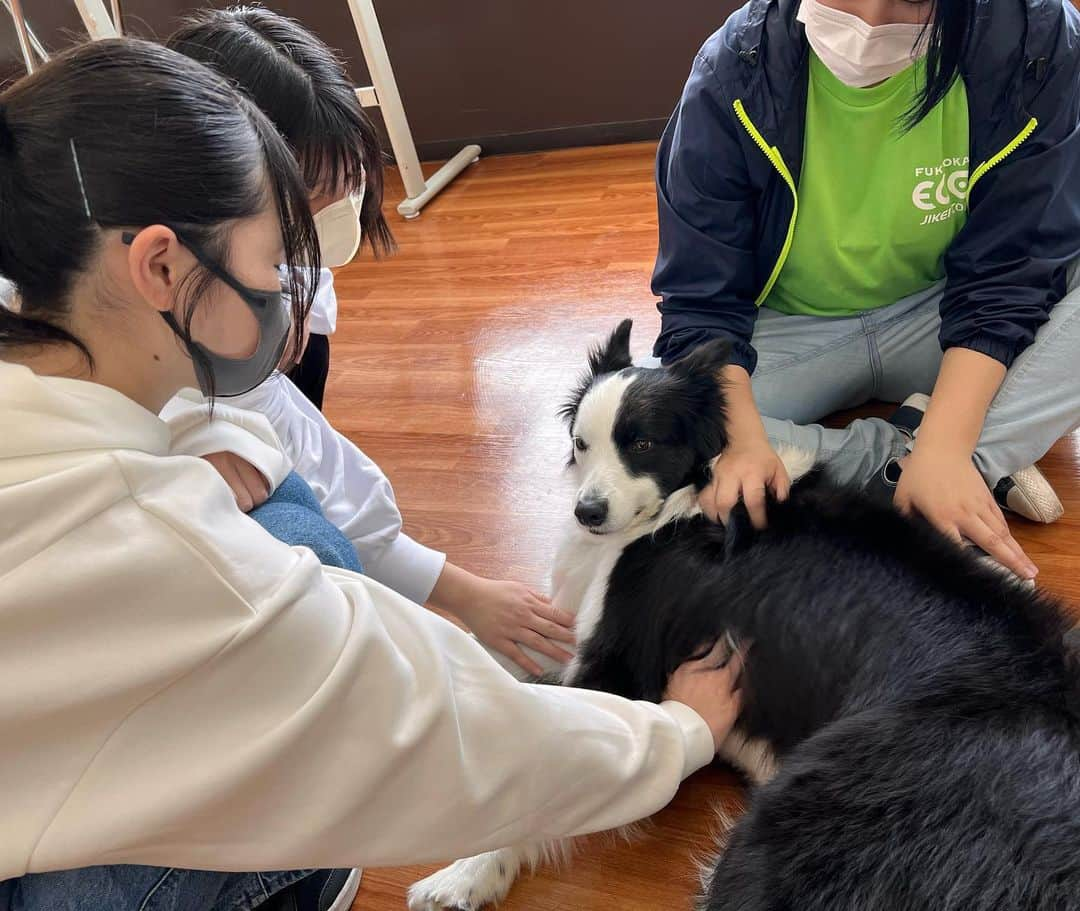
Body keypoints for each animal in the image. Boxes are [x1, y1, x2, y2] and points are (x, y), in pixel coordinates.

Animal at [406, 319, 1080, 911]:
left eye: (642, 444)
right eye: (581, 444)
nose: (587, 513)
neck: (688, 497)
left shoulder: (619, 667)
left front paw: (464, 873)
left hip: (786, 831)